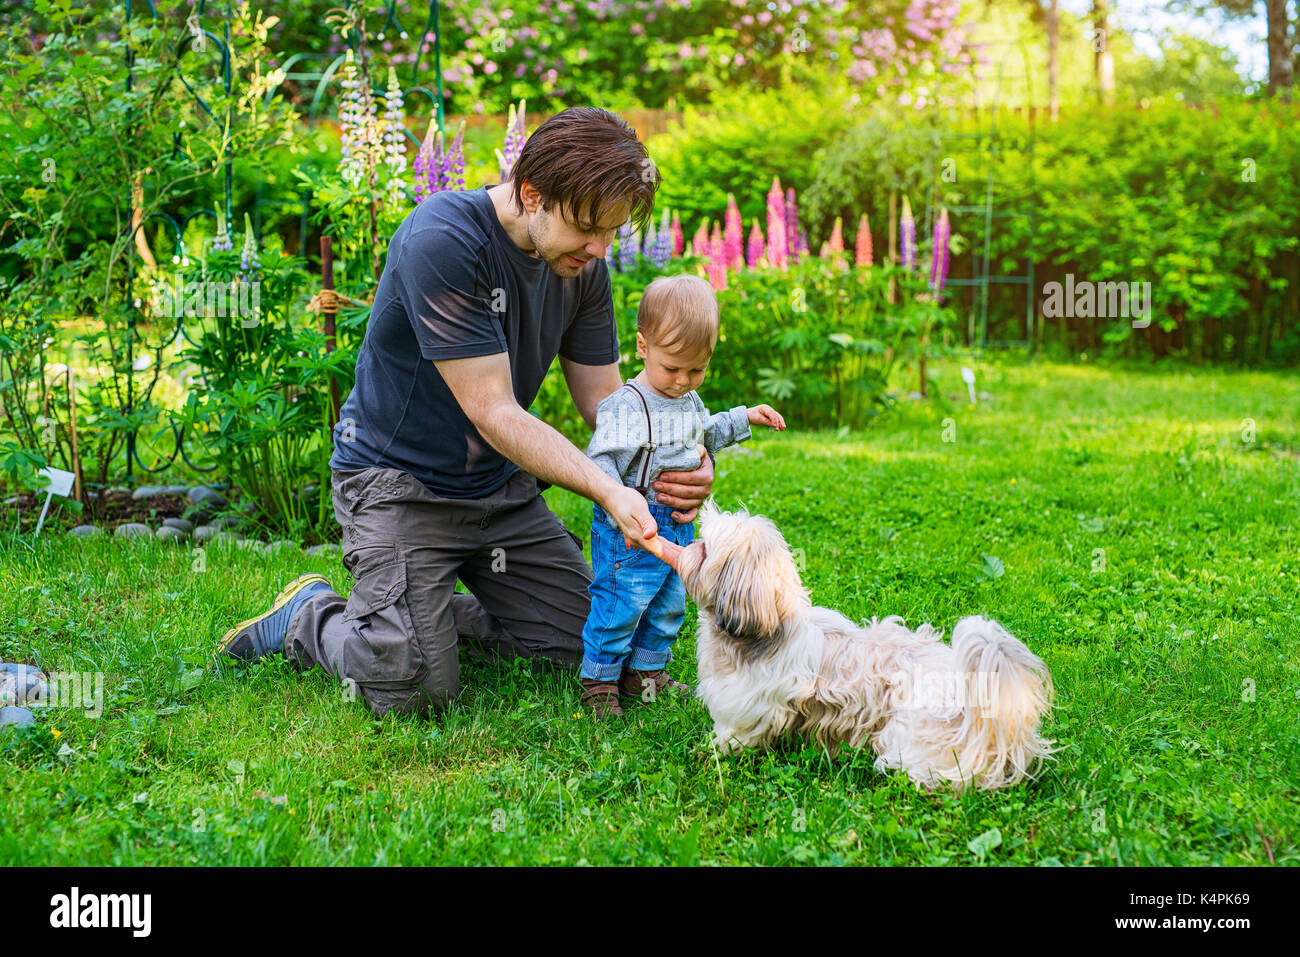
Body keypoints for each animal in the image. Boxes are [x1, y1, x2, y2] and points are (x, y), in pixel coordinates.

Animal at [650, 501, 1055, 790]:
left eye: (706, 550)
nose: (689, 544)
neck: (768, 629)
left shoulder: (751, 709)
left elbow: (735, 736)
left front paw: (710, 752)